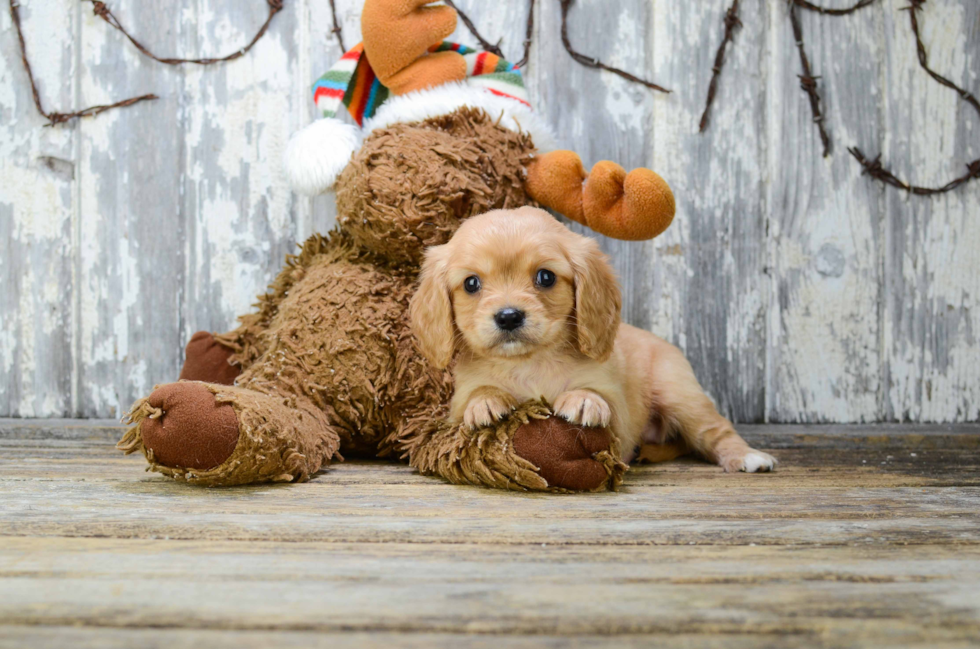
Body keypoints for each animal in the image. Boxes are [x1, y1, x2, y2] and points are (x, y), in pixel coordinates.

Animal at [410, 208, 776, 470]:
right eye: (471, 283)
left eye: (545, 277)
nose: (509, 316)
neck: (530, 363)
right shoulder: (454, 412)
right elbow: (475, 397)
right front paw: (485, 400)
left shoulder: (620, 418)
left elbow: (598, 396)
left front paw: (584, 399)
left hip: (681, 395)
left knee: (715, 430)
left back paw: (748, 457)